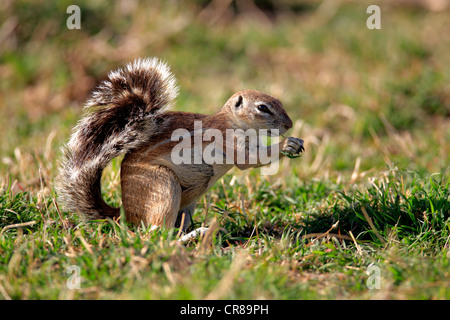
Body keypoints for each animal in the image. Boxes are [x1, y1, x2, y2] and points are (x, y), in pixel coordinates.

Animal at [55, 57, 302, 232]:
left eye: (279, 101)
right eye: (262, 107)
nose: (289, 125)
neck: (233, 120)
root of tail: (125, 214)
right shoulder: (229, 139)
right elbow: (249, 160)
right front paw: (286, 145)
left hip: (187, 204)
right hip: (164, 185)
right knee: (157, 233)